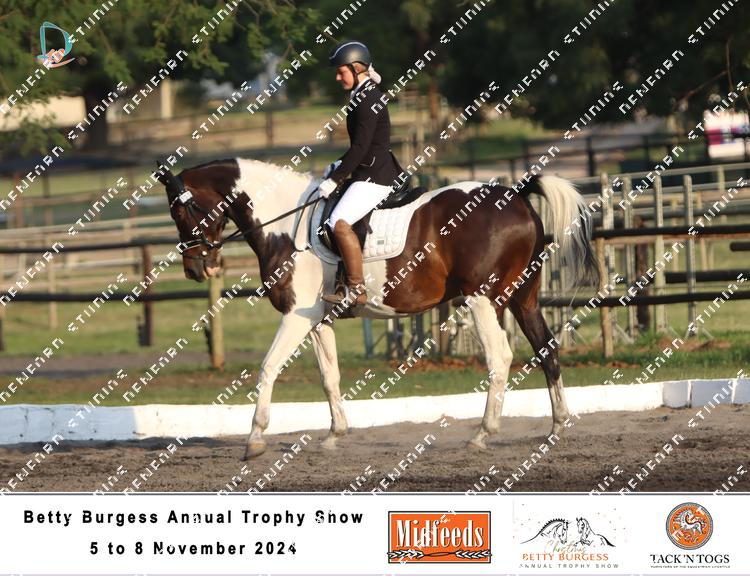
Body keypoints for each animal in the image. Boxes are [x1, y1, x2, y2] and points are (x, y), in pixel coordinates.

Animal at [156, 157, 599, 459]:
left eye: (179, 210)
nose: (195, 268)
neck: (285, 224)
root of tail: (515, 194)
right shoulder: (317, 321)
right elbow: (330, 377)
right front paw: (335, 434)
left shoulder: (295, 318)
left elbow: (267, 368)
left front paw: (255, 439)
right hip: (524, 299)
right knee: (546, 350)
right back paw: (558, 426)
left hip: (482, 300)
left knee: (500, 358)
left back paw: (483, 433)